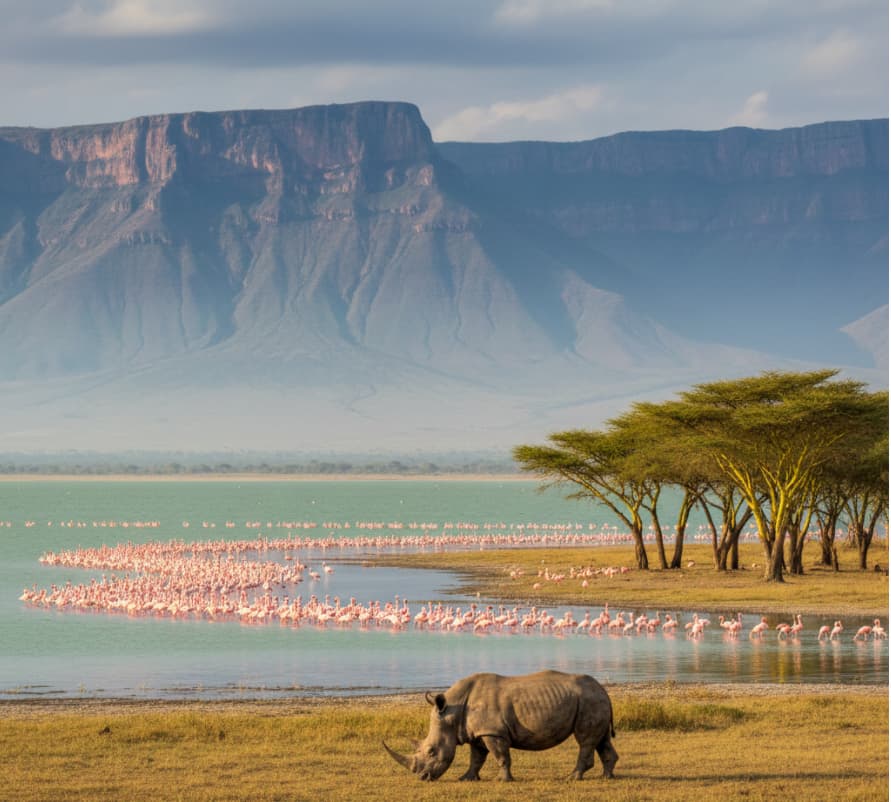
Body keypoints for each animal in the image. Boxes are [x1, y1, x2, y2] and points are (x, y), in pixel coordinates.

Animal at [383, 669, 617, 781]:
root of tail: (603, 689)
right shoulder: (477, 733)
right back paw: (607, 777)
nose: (422, 778)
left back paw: (572, 777)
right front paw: (467, 778)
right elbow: (476, 758)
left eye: (432, 751)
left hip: (588, 700)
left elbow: (501, 756)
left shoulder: (492, 732)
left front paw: (503, 780)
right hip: (593, 700)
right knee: (601, 739)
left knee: (584, 740)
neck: (452, 711)